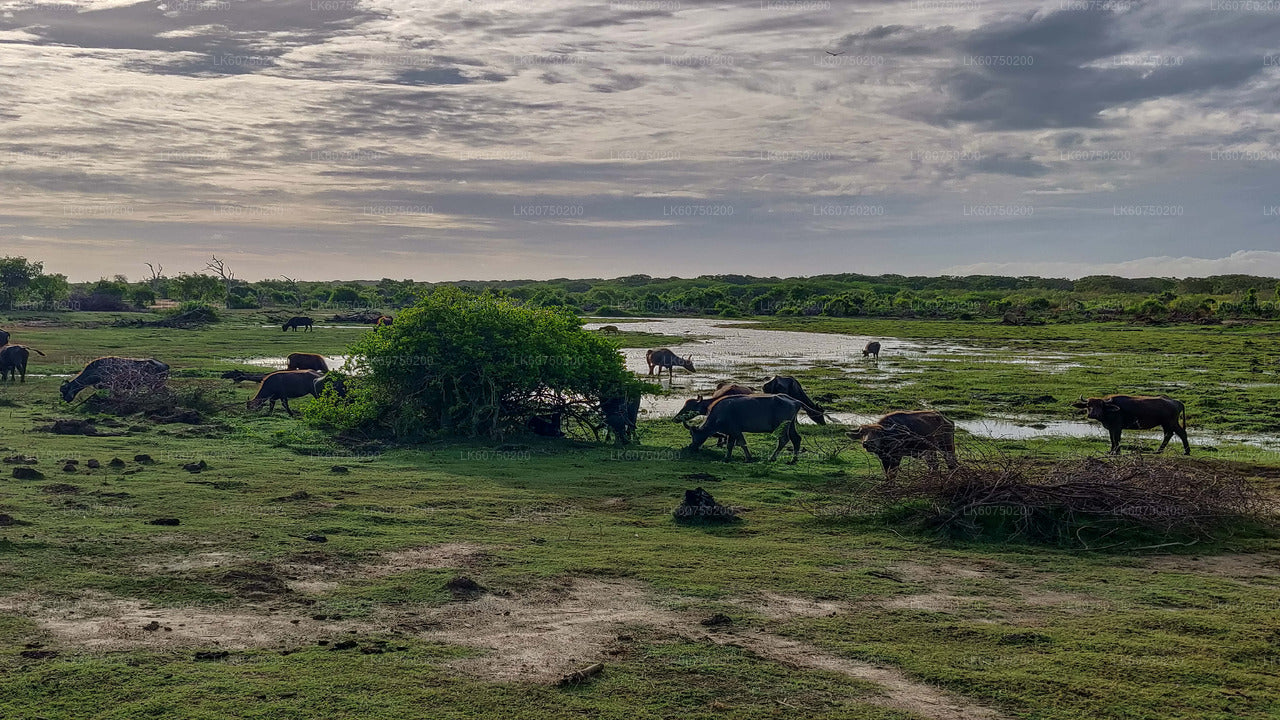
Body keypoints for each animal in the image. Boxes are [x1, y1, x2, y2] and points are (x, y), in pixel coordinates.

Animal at [686, 389, 814, 461]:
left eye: (693, 435)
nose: (691, 447)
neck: (718, 414)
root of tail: (795, 401)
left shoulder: (735, 431)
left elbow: (741, 443)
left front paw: (747, 458)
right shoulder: (732, 432)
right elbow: (731, 445)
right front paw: (728, 457)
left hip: (781, 426)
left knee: (783, 440)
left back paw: (772, 458)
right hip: (791, 425)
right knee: (796, 439)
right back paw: (794, 459)